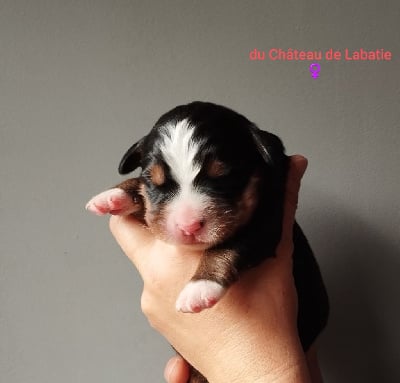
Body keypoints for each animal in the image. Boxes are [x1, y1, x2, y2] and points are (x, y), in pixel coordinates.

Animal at [86, 102, 330, 383]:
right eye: (155, 182)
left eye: (222, 177)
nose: (188, 226)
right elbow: (147, 201)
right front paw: (114, 195)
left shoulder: (266, 223)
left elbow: (228, 246)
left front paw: (199, 287)